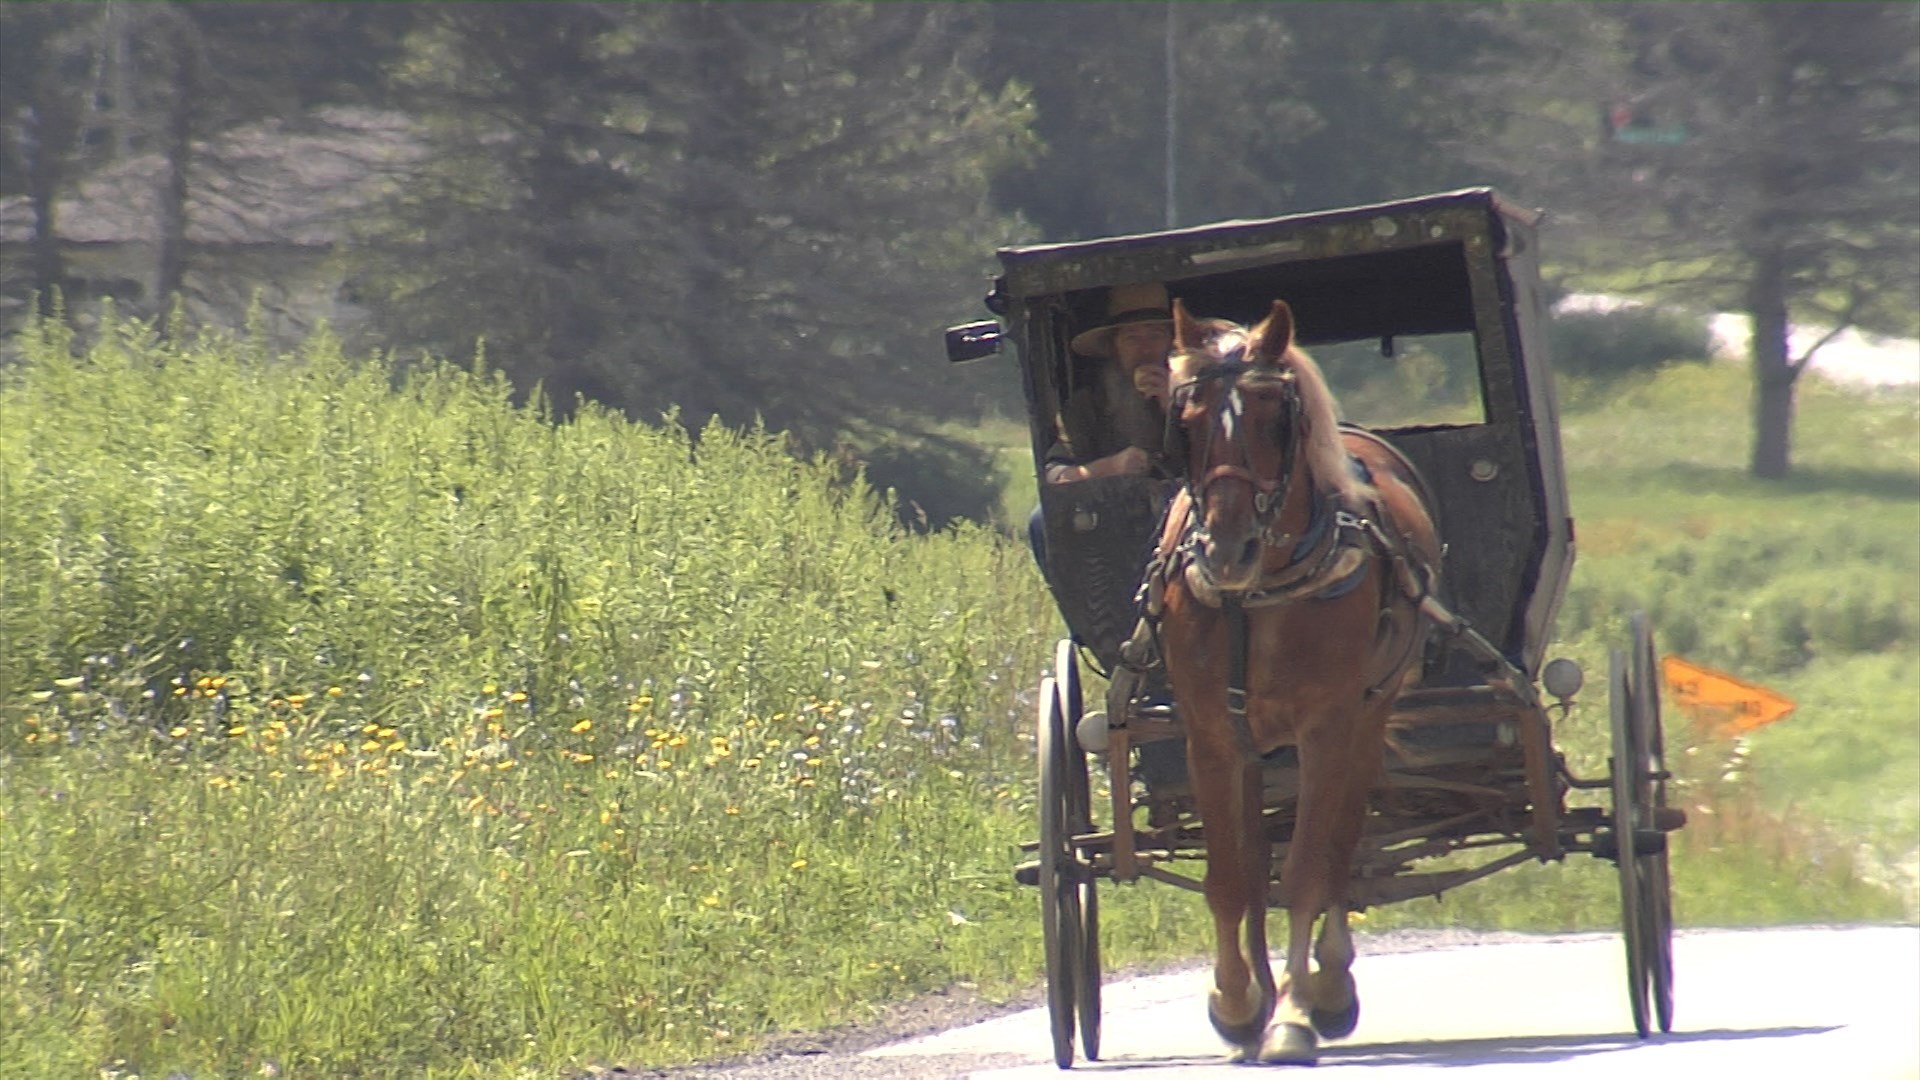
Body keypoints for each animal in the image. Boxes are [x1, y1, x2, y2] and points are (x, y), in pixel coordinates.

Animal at [1136, 297, 1443, 1053]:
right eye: (1186, 421)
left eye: (1276, 415)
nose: (1228, 549)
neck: (1261, 594)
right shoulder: (1210, 738)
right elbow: (1228, 878)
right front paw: (1236, 1000)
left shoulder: (1328, 729)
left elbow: (1306, 870)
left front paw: (1294, 1016)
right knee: (1255, 863)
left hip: (1367, 718)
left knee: (1340, 848)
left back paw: (1328, 986)